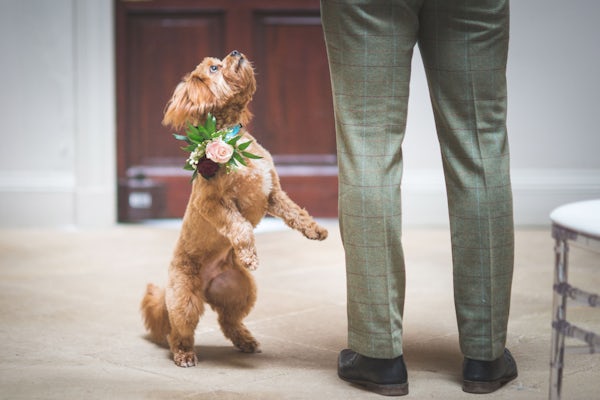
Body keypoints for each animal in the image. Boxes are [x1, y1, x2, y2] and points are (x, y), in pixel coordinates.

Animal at [141, 48, 328, 368]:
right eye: (214, 68)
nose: (236, 52)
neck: (233, 140)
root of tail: (205, 288)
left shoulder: (272, 193)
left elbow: (296, 213)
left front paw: (315, 230)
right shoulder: (213, 203)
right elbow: (239, 226)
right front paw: (250, 254)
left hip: (240, 289)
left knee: (227, 321)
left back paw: (245, 340)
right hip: (184, 297)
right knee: (178, 331)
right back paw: (184, 354)